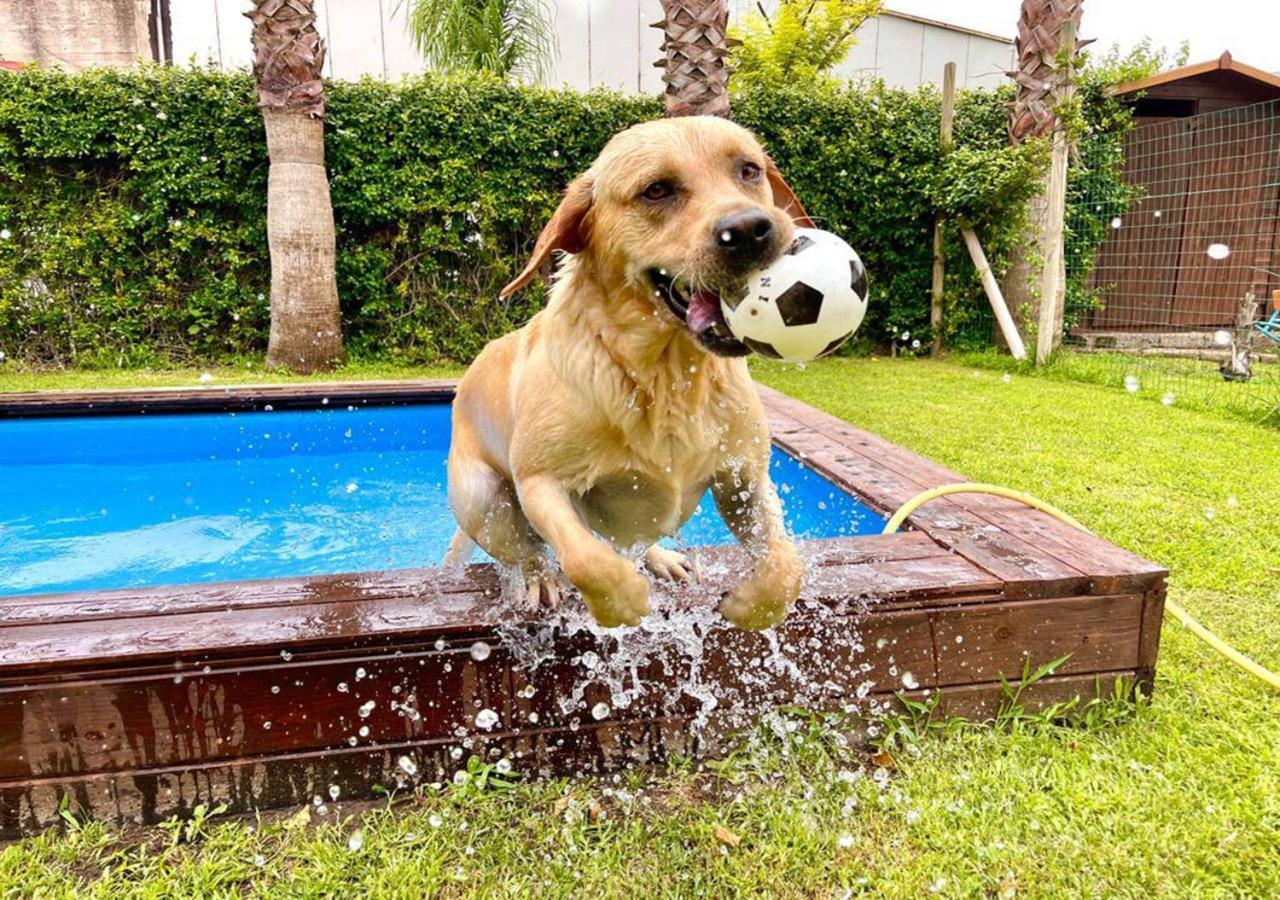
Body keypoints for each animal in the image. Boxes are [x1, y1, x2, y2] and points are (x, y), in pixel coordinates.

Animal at [445, 116, 814, 629]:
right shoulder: (539, 481)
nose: (749, 230)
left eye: (748, 170)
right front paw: (623, 601)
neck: (666, 375)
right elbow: (585, 559)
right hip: (482, 497)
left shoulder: (744, 479)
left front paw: (750, 605)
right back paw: (540, 577)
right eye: (656, 190)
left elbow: (786, 565)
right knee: (526, 551)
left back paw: (661, 558)